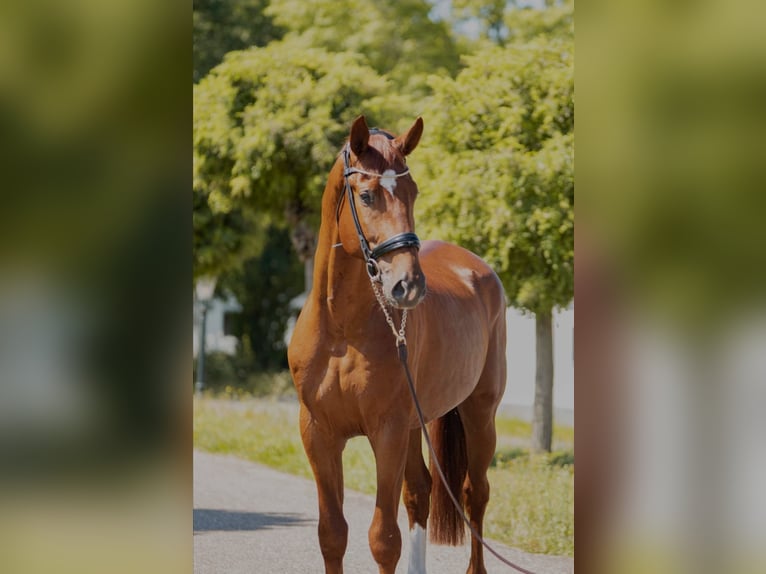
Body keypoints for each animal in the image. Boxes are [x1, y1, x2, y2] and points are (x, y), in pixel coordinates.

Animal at [292, 117, 508, 574]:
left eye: (413, 192)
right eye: (367, 194)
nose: (408, 286)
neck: (342, 330)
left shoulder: (386, 432)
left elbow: (383, 539)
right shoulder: (318, 433)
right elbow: (332, 534)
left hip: (479, 413)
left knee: (474, 493)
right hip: (415, 426)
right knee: (420, 491)